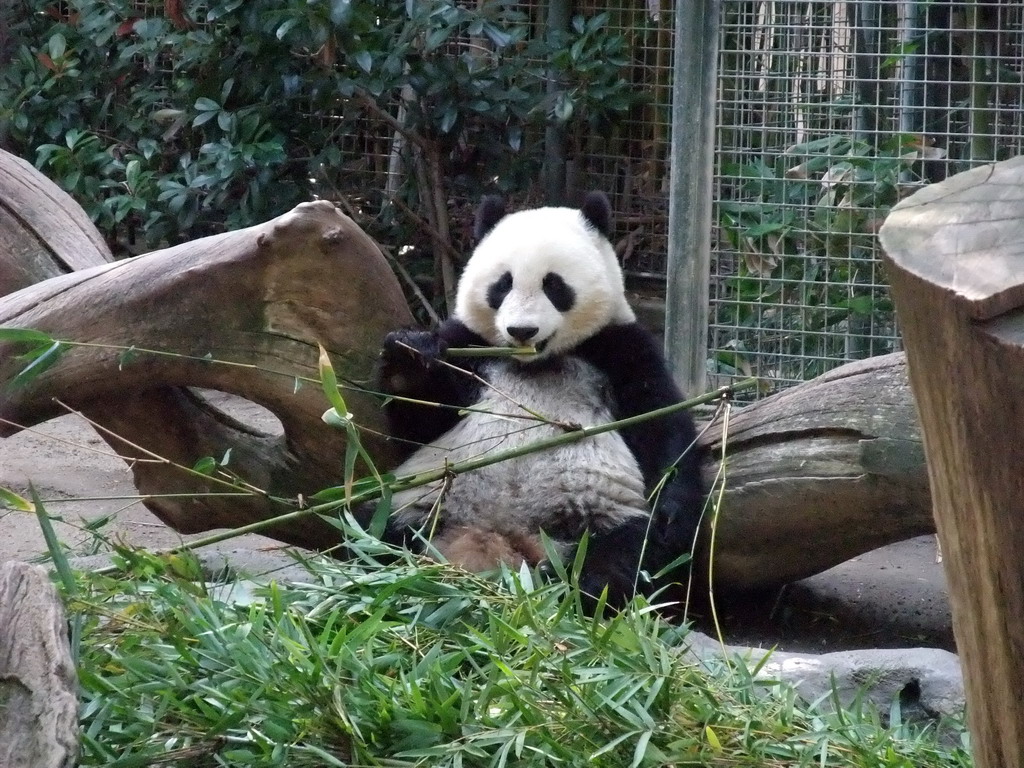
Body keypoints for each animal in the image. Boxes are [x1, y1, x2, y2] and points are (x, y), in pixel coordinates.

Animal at [364, 192, 708, 606]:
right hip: (414, 504)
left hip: (601, 517)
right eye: (502, 285)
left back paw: (579, 588)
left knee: (620, 555)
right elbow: (420, 421)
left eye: (554, 285)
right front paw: (409, 353)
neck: (533, 362)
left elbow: (660, 422)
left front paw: (672, 515)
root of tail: (503, 543)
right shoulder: (468, 346)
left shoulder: (618, 349)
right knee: (370, 532)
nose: (521, 330)